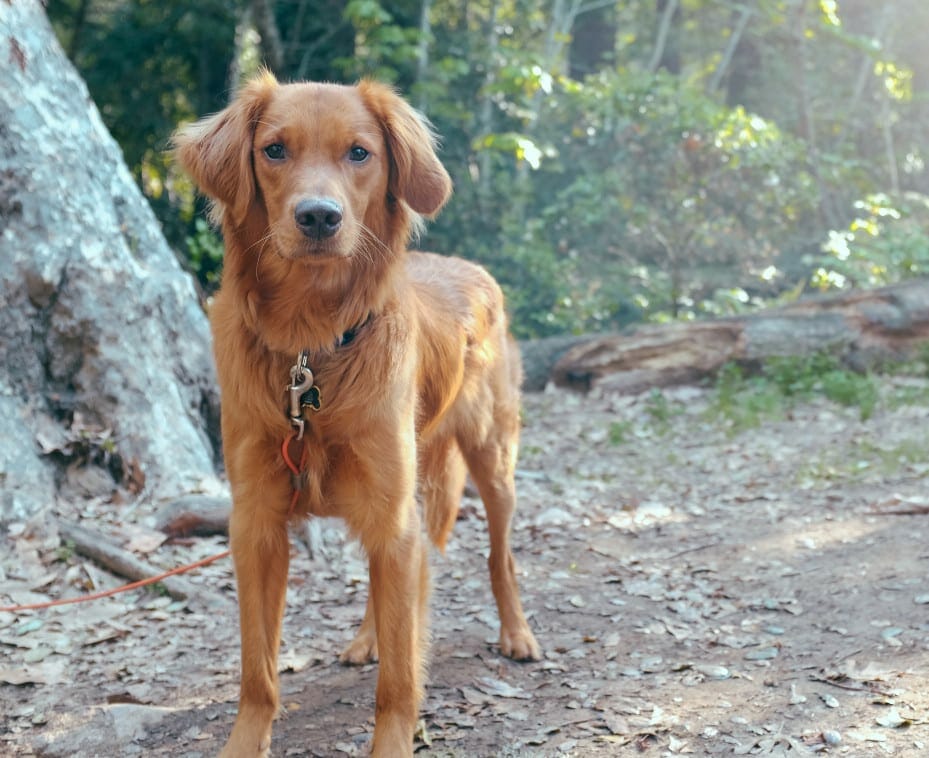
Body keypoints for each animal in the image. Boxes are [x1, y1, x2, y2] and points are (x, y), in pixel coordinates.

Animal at [170, 68, 540, 756]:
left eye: (360, 153)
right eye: (275, 150)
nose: (319, 216)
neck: (310, 348)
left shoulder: (395, 518)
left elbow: (400, 677)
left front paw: (394, 735)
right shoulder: (257, 525)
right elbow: (258, 671)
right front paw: (246, 739)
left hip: (492, 461)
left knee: (498, 557)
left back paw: (517, 635)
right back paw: (368, 638)